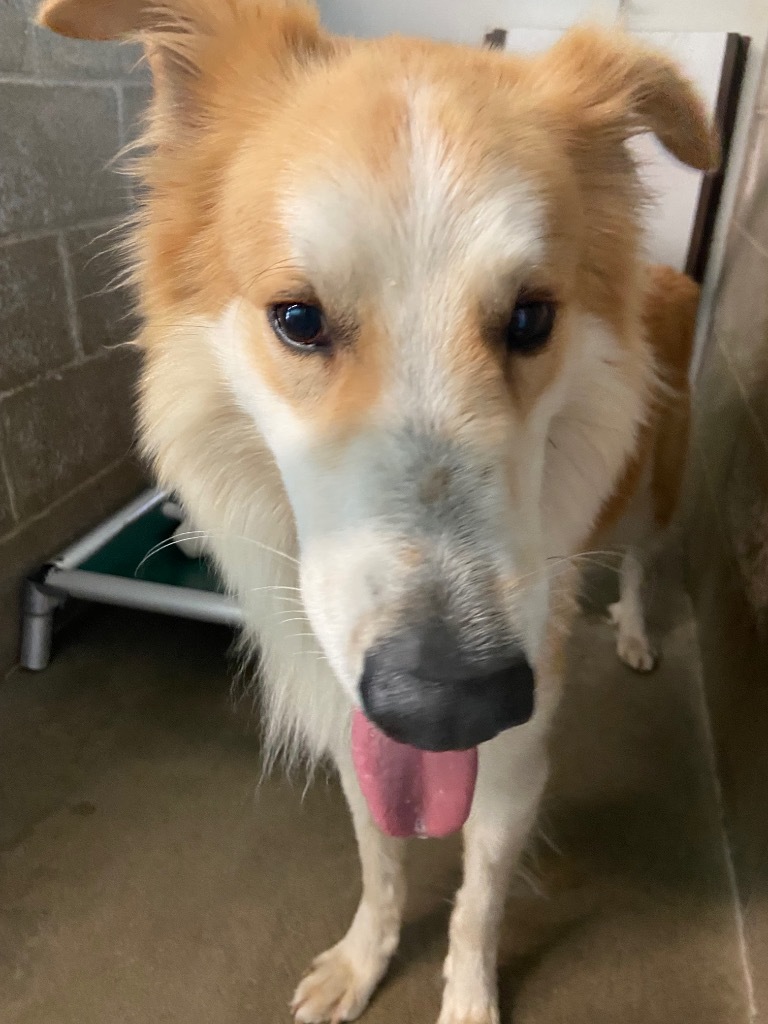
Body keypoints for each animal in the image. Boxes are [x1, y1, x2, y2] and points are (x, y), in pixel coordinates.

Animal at [39, 4, 720, 1019]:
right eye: (297, 319)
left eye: (531, 319)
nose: (448, 707)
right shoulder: (355, 719)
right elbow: (381, 860)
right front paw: (364, 961)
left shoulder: (516, 758)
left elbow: (478, 903)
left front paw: (468, 998)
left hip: (654, 490)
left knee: (643, 558)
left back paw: (636, 632)